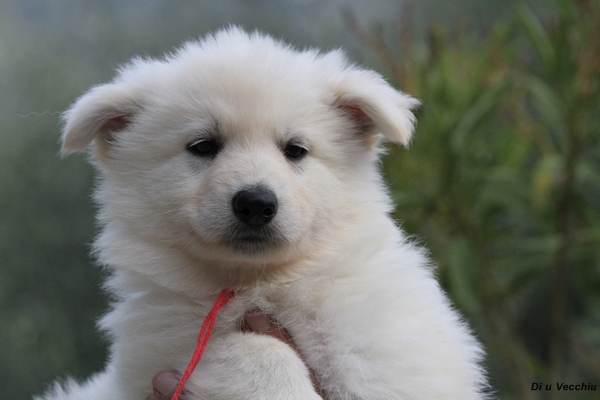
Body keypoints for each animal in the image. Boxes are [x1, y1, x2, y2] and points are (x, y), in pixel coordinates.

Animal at [37, 27, 487, 399]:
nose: (256, 203)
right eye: (203, 146)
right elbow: (251, 348)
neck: (259, 282)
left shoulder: (390, 348)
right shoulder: (162, 346)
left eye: (295, 150)